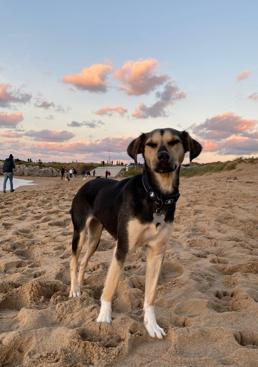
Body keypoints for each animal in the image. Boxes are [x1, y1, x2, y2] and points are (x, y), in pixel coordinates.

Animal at [69, 129, 203, 340]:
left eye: (174, 142)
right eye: (150, 144)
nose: (162, 157)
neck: (156, 196)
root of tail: (87, 183)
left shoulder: (157, 252)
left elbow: (150, 295)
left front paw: (151, 325)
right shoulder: (122, 247)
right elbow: (110, 286)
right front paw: (103, 319)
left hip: (95, 238)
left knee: (83, 261)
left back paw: (81, 285)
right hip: (80, 232)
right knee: (73, 260)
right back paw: (74, 289)